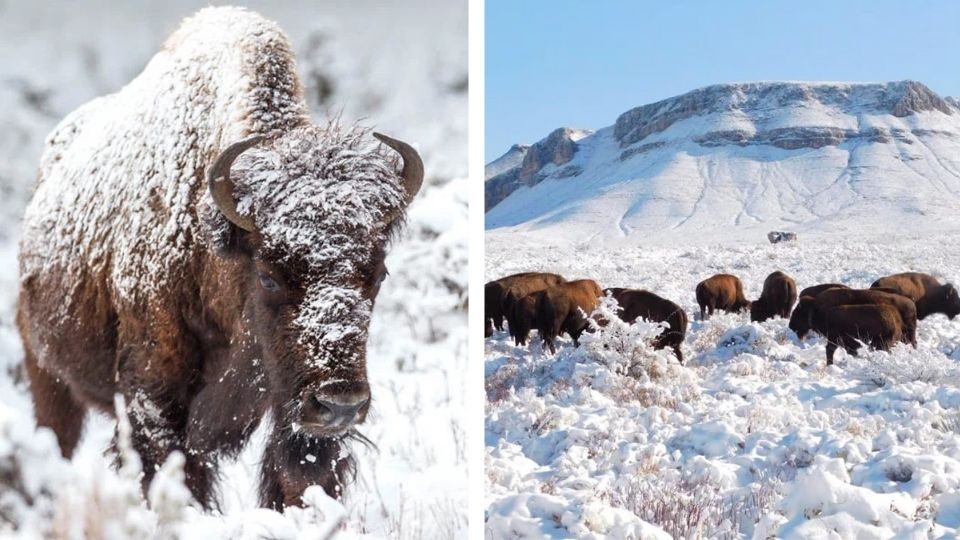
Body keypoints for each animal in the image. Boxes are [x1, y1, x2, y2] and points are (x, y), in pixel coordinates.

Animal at [16, 9, 422, 516]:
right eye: (268, 277)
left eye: (379, 272)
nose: (340, 404)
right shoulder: (154, 401)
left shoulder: (291, 413)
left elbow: (298, 475)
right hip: (46, 374)